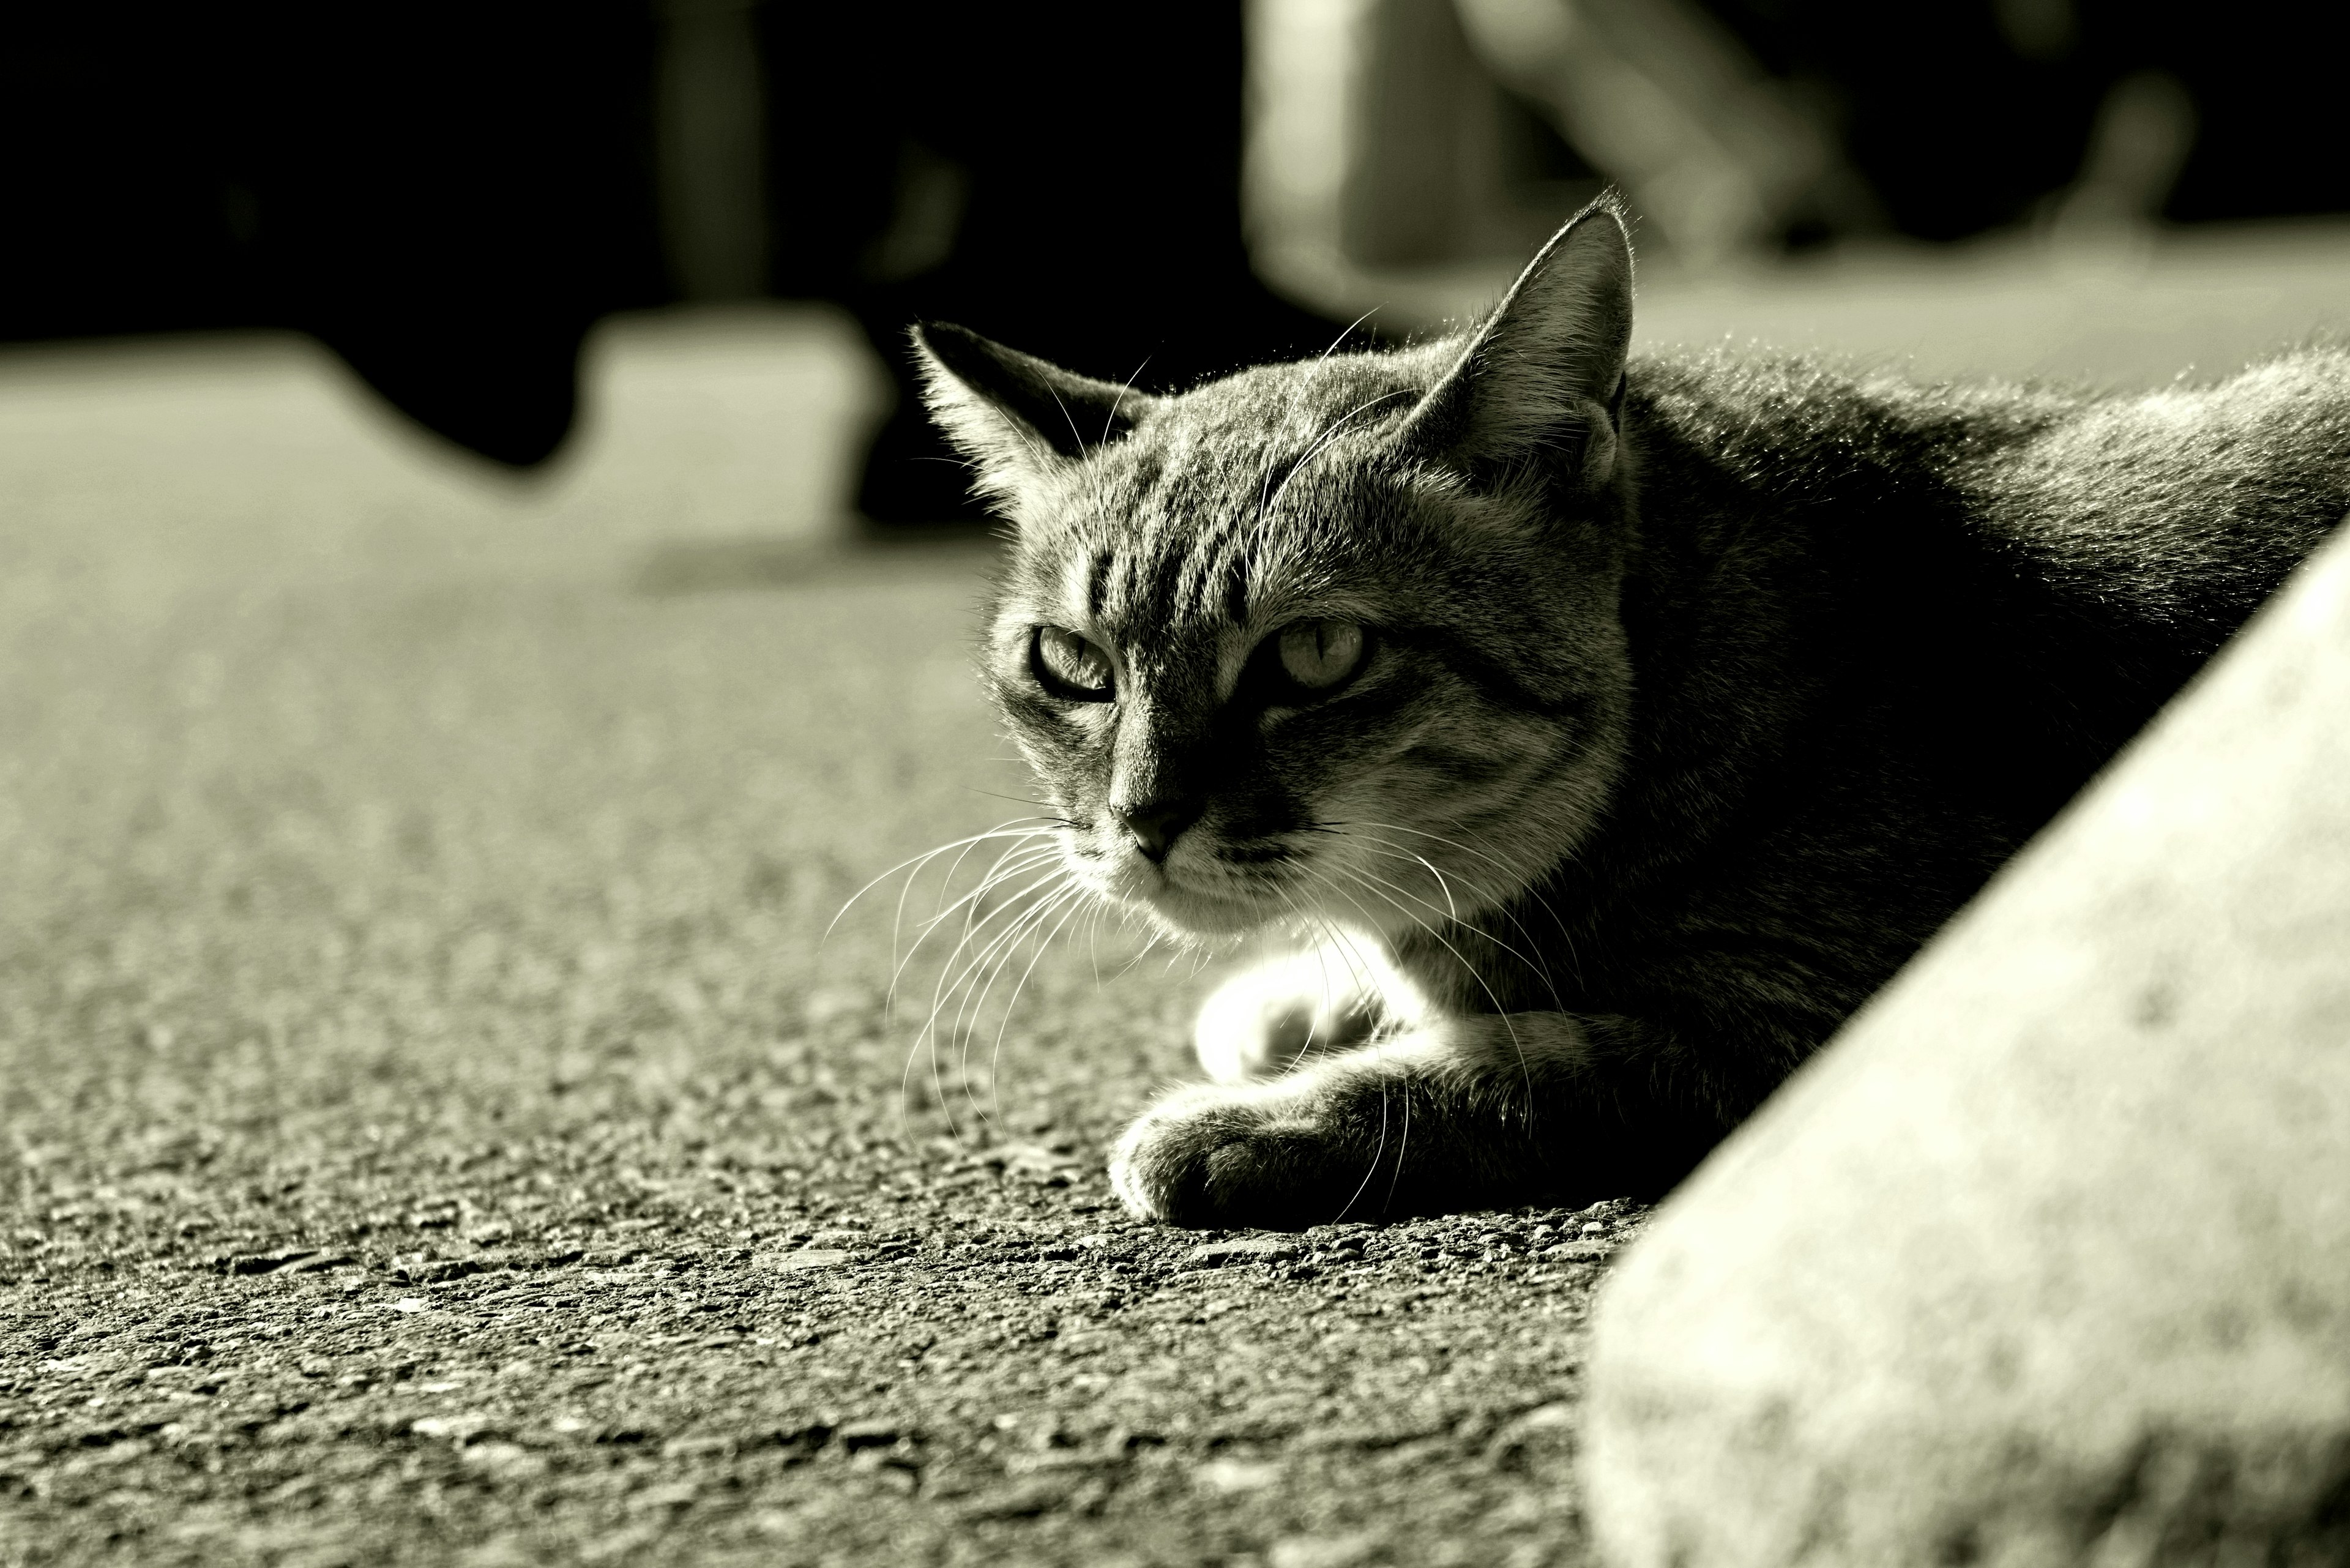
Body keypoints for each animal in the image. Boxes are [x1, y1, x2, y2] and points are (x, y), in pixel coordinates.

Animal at [902, 192, 2350, 1222]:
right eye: (1071, 664)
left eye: (1315, 653)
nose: (1141, 822)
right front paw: (1305, 995)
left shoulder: (1845, 1027)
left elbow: (1507, 1072)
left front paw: (1251, 1121)